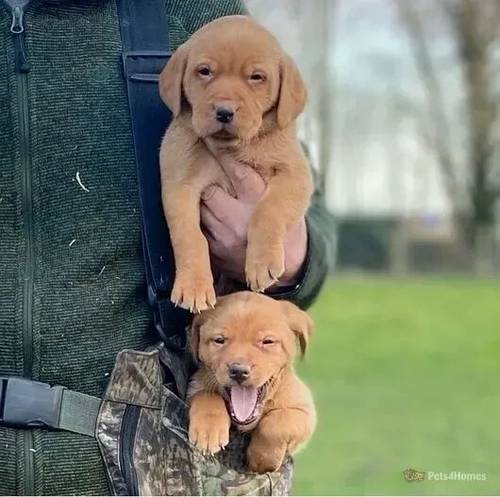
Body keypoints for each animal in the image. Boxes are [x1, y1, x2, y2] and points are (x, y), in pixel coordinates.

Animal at [188, 290, 316, 472]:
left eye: (267, 341)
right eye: (219, 340)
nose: (239, 371)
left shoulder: (304, 410)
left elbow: (277, 423)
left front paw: (263, 458)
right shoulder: (194, 385)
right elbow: (206, 396)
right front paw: (208, 430)